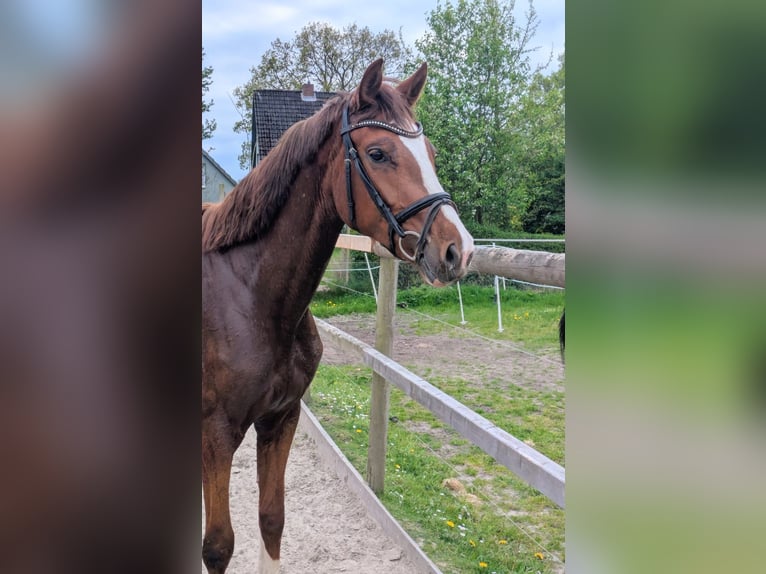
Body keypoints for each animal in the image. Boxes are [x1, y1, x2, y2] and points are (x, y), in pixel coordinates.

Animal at [201, 59, 475, 574]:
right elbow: (218, 545)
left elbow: (271, 518)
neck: (250, 297)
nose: (458, 250)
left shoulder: (281, 418)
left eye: (429, 152)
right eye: (378, 153)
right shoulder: (217, 434)